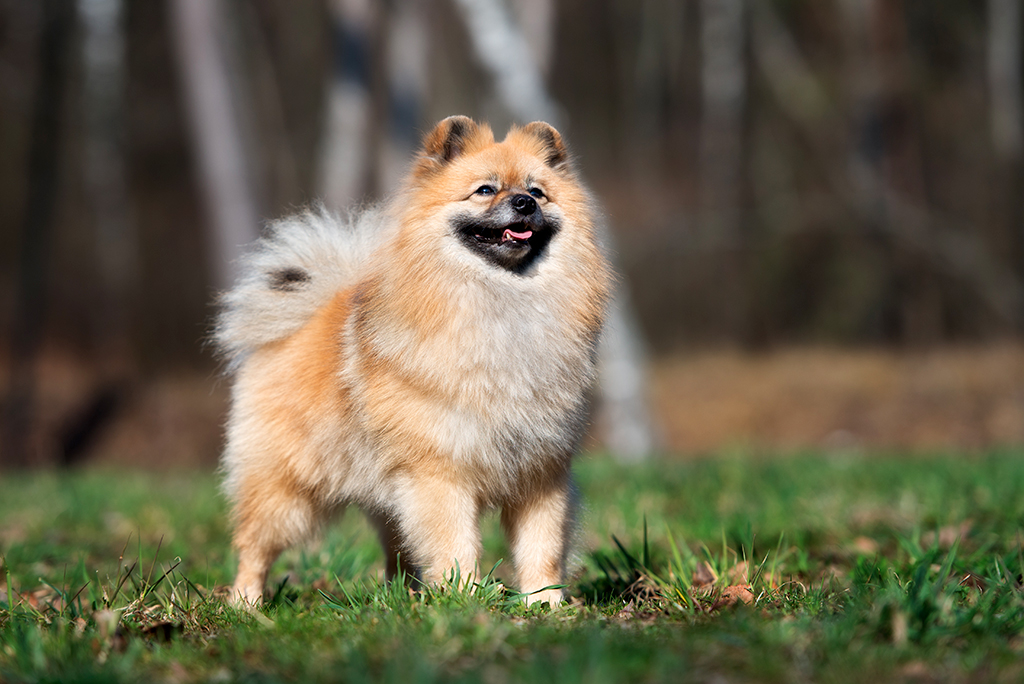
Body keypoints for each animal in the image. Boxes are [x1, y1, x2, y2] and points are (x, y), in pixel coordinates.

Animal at [214, 114, 606, 606]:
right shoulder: (439, 474)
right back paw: (246, 604)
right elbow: (456, 545)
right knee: (255, 546)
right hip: (286, 490)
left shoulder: (541, 474)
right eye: (485, 190)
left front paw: (545, 604)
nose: (522, 202)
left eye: (537, 192)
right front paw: (466, 598)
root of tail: (306, 318)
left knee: (396, 547)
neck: (505, 303)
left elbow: (543, 547)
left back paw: (403, 597)